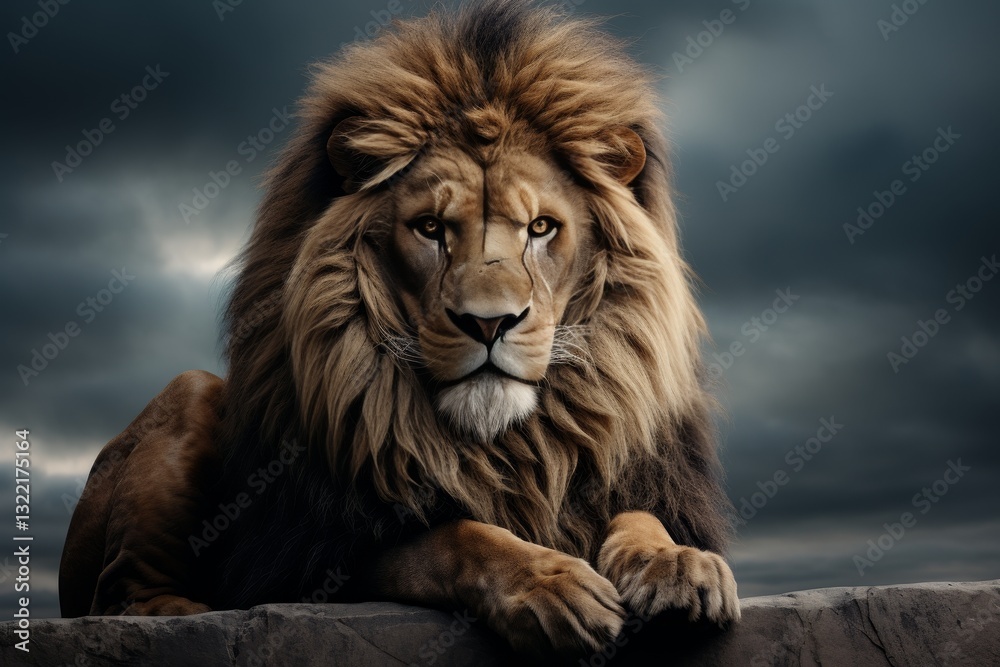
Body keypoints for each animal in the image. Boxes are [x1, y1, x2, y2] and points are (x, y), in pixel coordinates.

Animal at [60, 0, 739, 657]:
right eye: (430, 228)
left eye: (542, 228)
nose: (489, 323)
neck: (510, 449)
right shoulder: (317, 552)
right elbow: (460, 537)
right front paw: (552, 586)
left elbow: (640, 517)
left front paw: (681, 565)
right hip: (191, 392)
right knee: (119, 597)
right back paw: (185, 613)